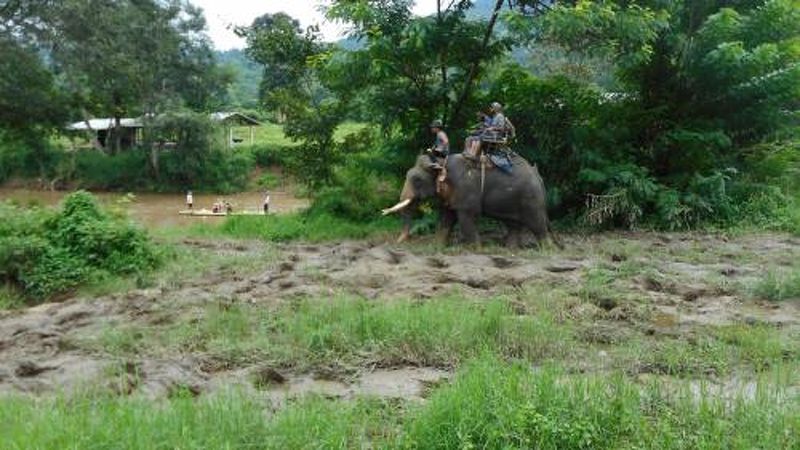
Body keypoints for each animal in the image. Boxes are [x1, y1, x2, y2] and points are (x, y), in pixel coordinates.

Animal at [384, 153, 552, 248]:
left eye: (417, 180)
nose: (398, 243)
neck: (440, 162)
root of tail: (538, 175)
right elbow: (446, 219)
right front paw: (437, 247)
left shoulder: (466, 191)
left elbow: (466, 218)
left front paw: (476, 249)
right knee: (513, 224)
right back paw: (510, 249)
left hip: (531, 200)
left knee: (537, 224)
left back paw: (546, 249)